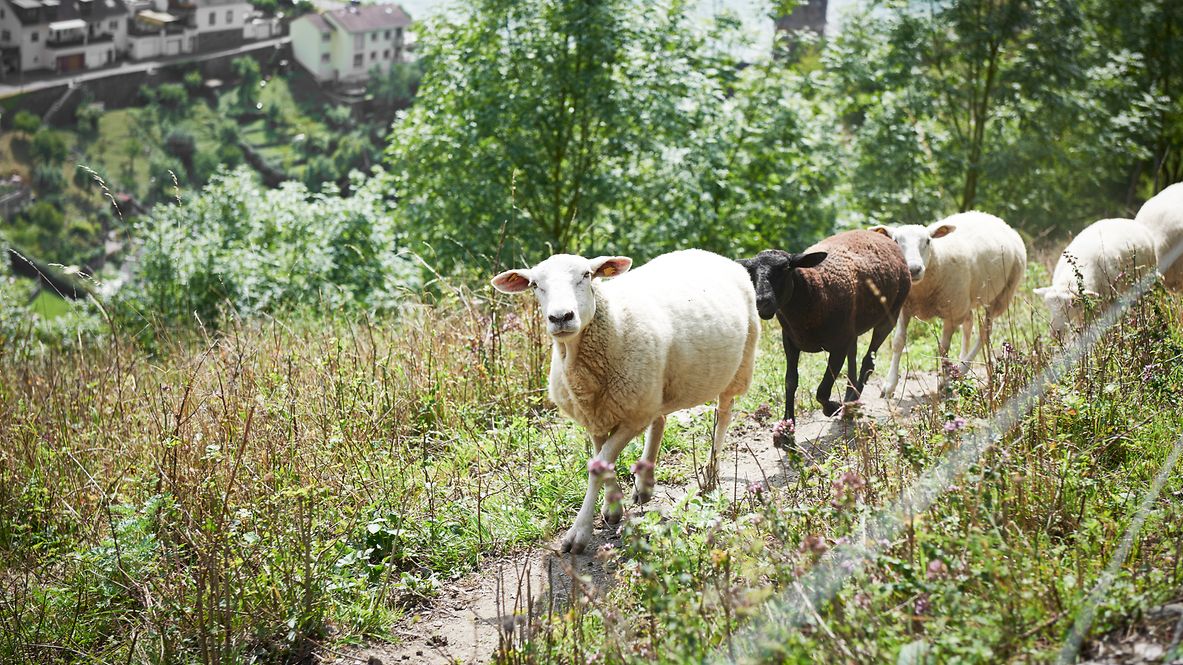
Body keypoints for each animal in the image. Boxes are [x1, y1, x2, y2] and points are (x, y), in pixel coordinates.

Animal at [491, 249, 759, 554]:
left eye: (586, 275)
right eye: (535, 285)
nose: (561, 317)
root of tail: (709, 254)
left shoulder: (631, 418)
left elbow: (600, 464)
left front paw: (579, 532)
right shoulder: (596, 417)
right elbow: (602, 462)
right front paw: (612, 508)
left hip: (738, 367)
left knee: (723, 414)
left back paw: (711, 474)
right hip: (653, 388)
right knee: (660, 419)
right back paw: (645, 484)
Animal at [738, 230, 911, 446]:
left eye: (785, 268)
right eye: (750, 272)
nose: (762, 302)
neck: (814, 290)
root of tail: (880, 234)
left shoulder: (837, 346)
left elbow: (822, 390)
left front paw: (833, 407)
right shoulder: (790, 341)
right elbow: (790, 381)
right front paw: (786, 430)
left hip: (889, 316)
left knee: (868, 361)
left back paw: (849, 405)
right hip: (851, 330)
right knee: (854, 360)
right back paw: (850, 400)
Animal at [872, 211, 1027, 397]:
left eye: (928, 241)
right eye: (895, 241)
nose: (913, 269)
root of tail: (996, 219)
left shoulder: (952, 316)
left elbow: (943, 348)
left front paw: (945, 383)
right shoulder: (904, 309)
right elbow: (898, 342)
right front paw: (889, 386)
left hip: (1001, 296)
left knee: (984, 333)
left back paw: (962, 370)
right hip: (966, 301)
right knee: (969, 324)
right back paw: (960, 365)